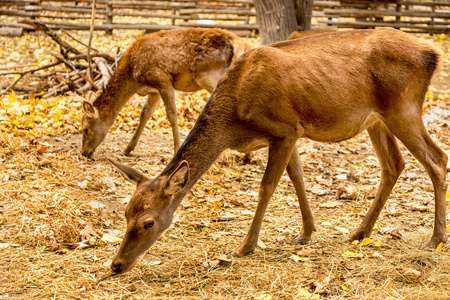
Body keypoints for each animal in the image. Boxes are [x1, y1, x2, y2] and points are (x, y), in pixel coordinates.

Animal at [105, 28, 446, 274]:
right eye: (125, 213)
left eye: (148, 222)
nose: (116, 265)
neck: (234, 120)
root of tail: (435, 53)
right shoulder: (289, 132)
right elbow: (297, 178)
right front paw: (306, 232)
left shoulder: (284, 129)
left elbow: (267, 186)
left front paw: (245, 246)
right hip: (377, 120)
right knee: (394, 164)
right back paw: (359, 233)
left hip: (403, 108)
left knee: (437, 159)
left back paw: (436, 239)